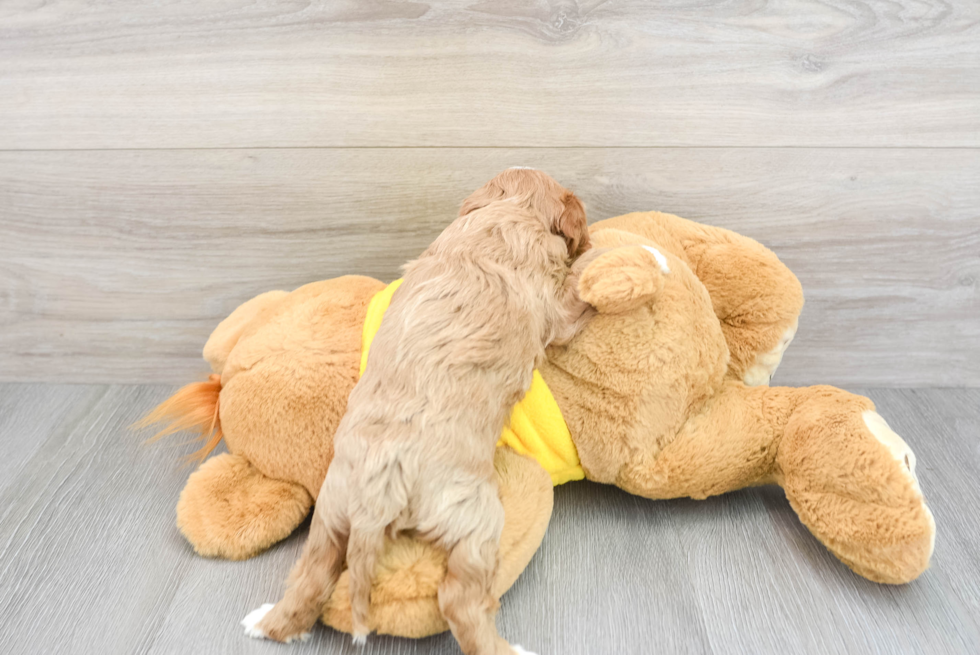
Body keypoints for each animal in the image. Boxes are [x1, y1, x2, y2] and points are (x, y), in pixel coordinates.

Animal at [243, 170, 596, 655]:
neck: (507, 213)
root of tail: (377, 495)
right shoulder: (556, 309)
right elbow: (575, 287)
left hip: (331, 513)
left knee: (311, 579)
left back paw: (264, 622)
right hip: (474, 518)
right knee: (459, 602)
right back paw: (508, 648)